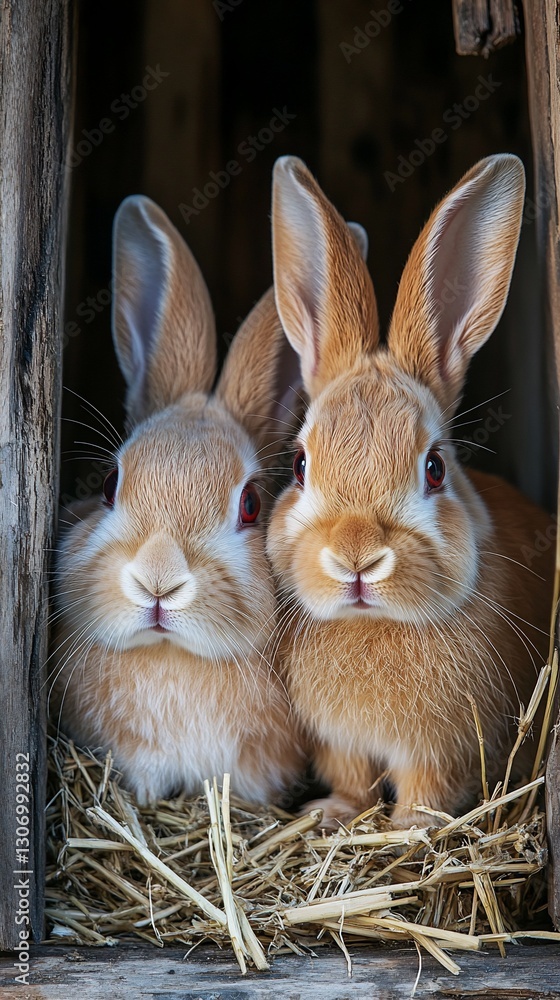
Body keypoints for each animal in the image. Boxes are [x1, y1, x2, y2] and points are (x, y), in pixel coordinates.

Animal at [267, 153, 555, 829]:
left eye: (435, 468)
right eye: (298, 465)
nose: (355, 559)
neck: (370, 623)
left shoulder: (441, 751)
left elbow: (428, 792)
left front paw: (406, 830)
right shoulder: (340, 744)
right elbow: (353, 781)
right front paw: (334, 814)